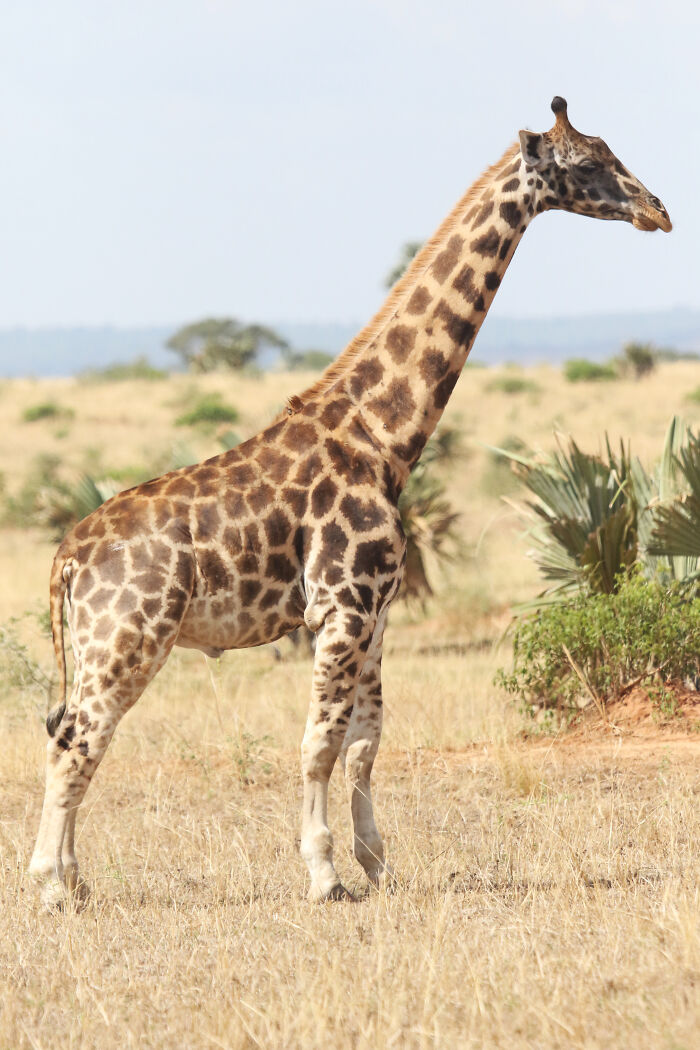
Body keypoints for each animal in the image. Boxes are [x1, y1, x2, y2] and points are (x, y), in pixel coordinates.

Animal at [30, 98, 671, 906]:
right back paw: (50, 885)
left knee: (75, 731)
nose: (659, 211)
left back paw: (76, 880)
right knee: (76, 736)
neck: (386, 437)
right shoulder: (339, 607)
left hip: (97, 644)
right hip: (129, 636)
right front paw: (325, 874)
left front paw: (380, 866)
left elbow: (364, 744)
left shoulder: (378, 610)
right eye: (587, 163)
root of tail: (67, 555)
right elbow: (318, 743)